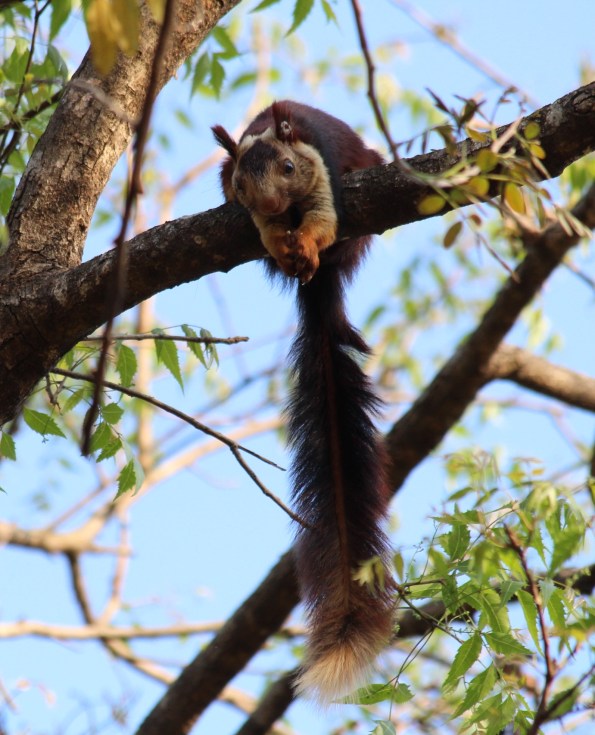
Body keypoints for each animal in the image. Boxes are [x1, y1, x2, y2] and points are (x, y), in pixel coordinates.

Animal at [212, 101, 395, 702]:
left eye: (290, 168)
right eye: (241, 185)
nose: (270, 202)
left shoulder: (325, 180)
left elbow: (321, 221)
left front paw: (307, 244)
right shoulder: (255, 218)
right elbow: (269, 235)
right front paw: (282, 243)